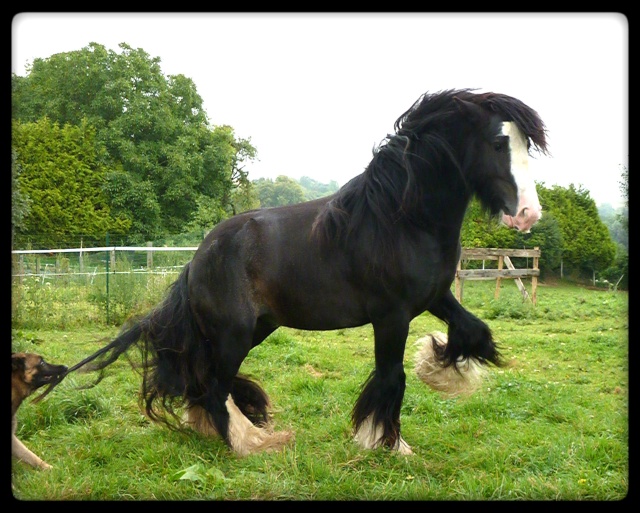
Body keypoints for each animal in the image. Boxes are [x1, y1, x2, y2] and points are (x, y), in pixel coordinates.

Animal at [58, 89, 544, 456]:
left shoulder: (434, 298)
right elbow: (392, 376)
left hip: (257, 328)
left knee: (206, 381)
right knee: (213, 385)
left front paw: (439, 370)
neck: (401, 220)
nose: (528, 214)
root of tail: (197, 259)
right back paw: (250, 444)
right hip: (235, 333)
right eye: (498, 144)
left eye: (526, 145)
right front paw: (386, 443)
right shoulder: (391, 317)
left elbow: (474, 332)